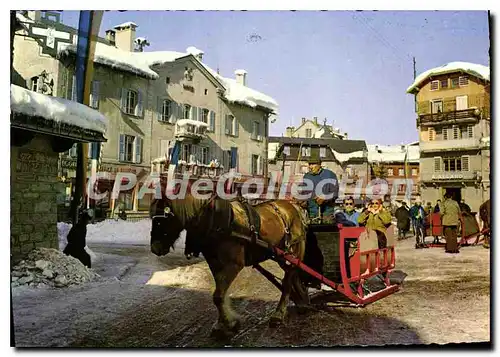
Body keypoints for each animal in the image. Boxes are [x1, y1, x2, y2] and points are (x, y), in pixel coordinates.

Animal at [149, 191, 312, 338]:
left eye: (164, 218)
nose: (155, 248)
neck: (214, 221)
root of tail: (293, 206)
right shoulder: (215, 264)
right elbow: (219, 294)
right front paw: (223, 323)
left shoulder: (234, 264)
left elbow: (218, 295)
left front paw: (228, 324)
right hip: (280, 255)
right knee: (293, 276)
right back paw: (302, 301)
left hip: (293, 251)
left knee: (288, 280)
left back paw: (279, 313)